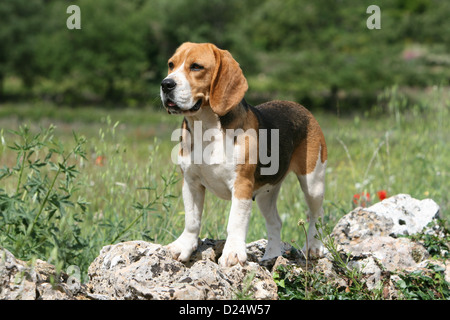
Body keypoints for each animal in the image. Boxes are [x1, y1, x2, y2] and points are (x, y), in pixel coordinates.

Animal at [161, 43, 326, 268]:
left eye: (196, 66)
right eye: (171, 64)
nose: (166, 84)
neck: (206, 128)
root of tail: (299, 106)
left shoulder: (242, 185)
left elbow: (235, 222)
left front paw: (232, 253)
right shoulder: (191, 183)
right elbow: (192, 219)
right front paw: (183, 247)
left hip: (313, 182)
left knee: (317, 215)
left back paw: (315, 247)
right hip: (267, 192)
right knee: (275, 222)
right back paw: (272, 256)